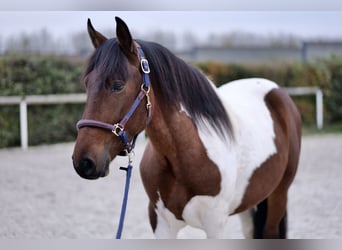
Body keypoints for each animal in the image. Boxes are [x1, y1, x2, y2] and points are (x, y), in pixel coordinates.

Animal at [72, 16, 302, 239]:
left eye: (117, 85)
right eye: (87, 83)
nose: (83, 162)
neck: (184, 155)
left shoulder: (215, 224)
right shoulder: (160, 222)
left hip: (279, 194)